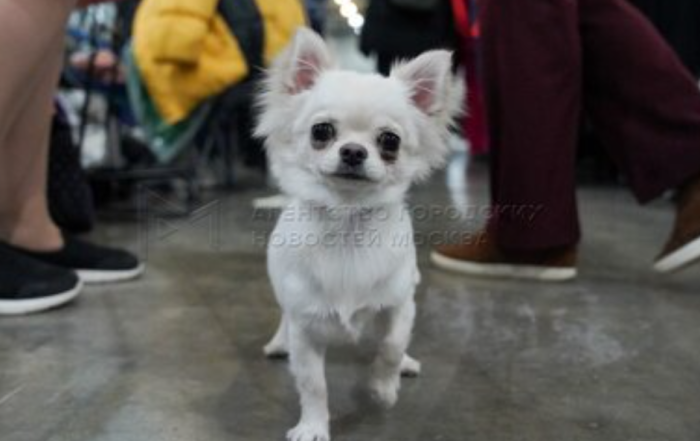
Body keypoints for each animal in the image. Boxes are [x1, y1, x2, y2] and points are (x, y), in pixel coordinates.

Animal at [255, 28, 464, 441]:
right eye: (322, 132)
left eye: (389, 141)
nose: (353, 151)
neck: (347, 221)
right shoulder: (305, 326)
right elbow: (313, 384)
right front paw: (313, 426)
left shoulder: (400, 304)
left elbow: (392, 344)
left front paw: (383, 389)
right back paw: (277, 343)